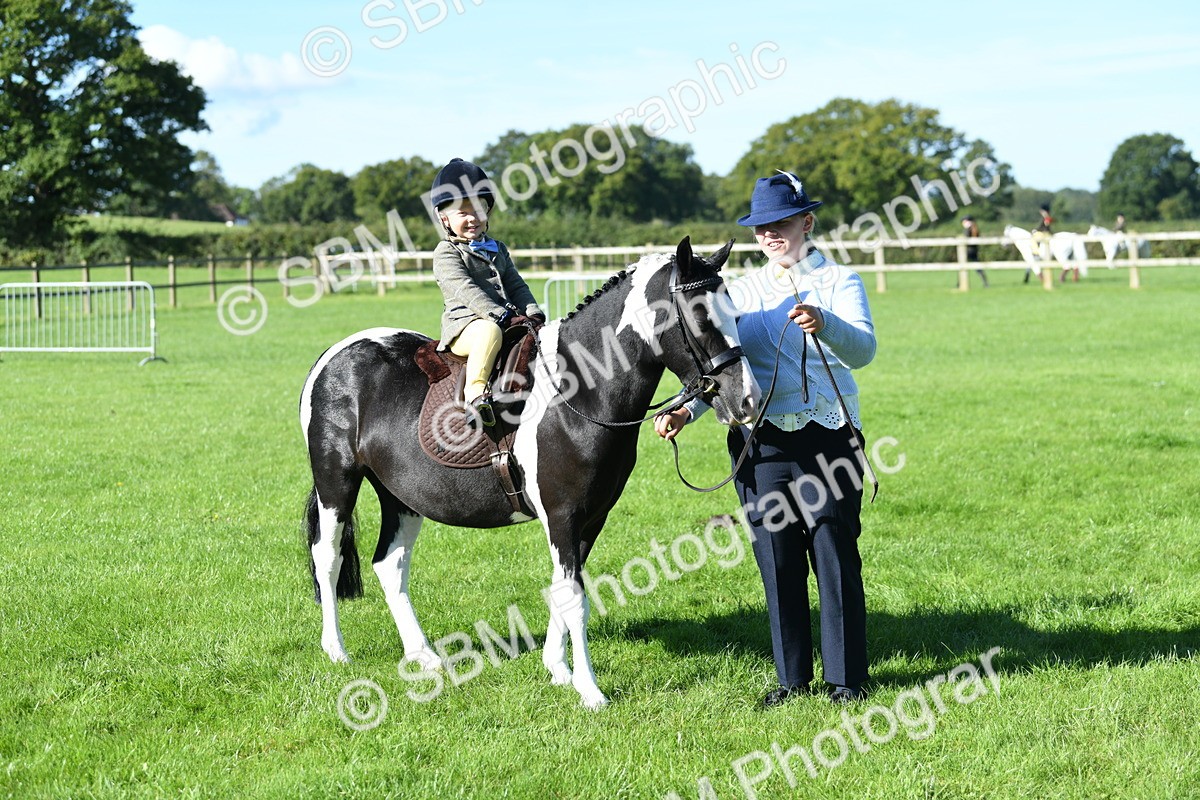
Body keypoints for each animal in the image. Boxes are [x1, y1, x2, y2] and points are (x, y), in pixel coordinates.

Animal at [298, 237, 758, 708]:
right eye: (700, 317)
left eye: (734, 312)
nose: (747, 401)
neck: (577, 390)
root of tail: (333, 357)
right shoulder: (562, 515)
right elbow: (574, 598)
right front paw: (590, 691)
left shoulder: (590, 518)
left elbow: (562, 590)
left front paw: (558, 670)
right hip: (336, 485)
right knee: (327, 557)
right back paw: (337, 650)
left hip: (401, 498)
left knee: (390, 565)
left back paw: (423, 656)